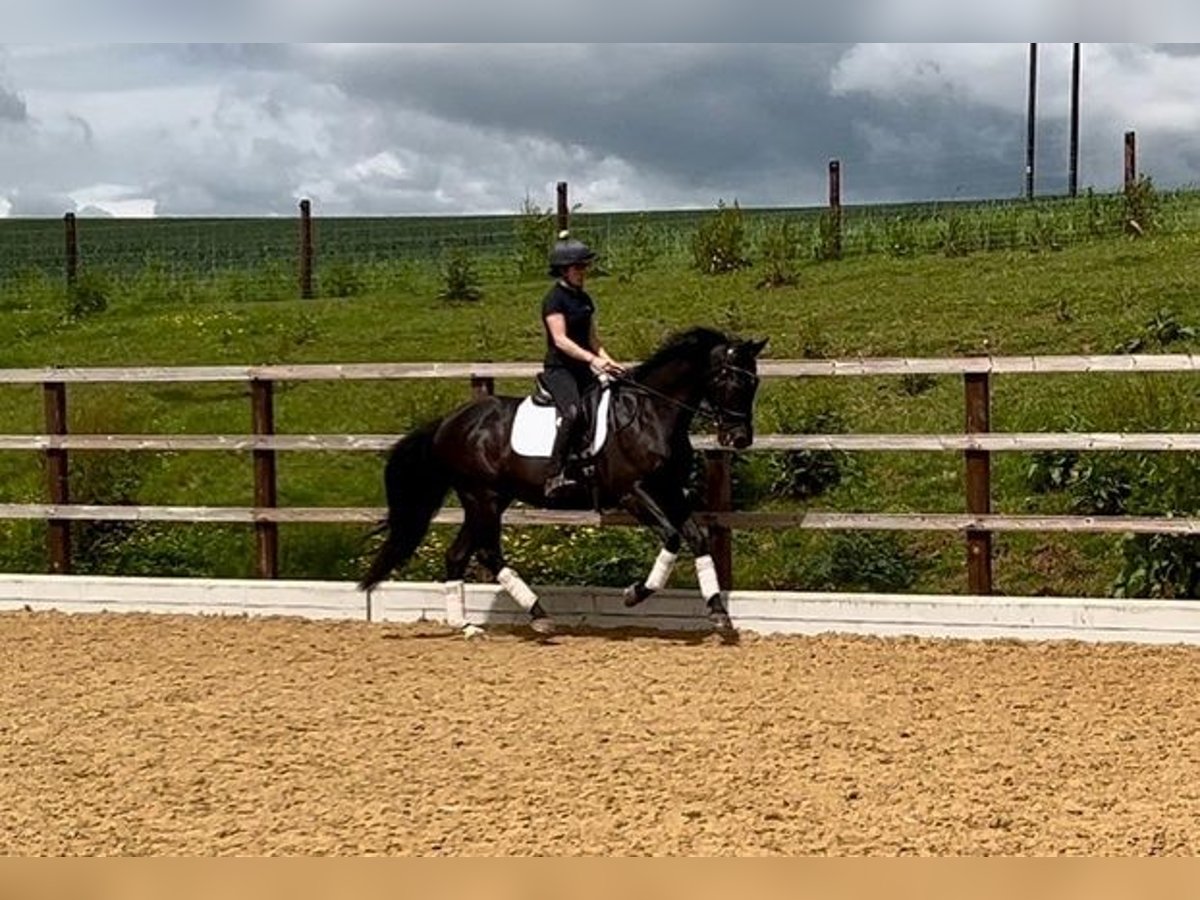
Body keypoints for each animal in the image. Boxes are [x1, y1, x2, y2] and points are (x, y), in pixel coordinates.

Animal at [357, 328, 768, 633]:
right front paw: (634, 593)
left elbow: (697, 538)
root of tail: (449, 422)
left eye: (755, 383)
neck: (651, 414)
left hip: (492, 498)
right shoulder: (633, 493)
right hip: (481, 496)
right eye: (731, 379)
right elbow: (671, 537)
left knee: (458, 554)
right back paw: (537, 616)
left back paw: (468, 625)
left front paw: (718, 612)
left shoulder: (669, 490)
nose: (738, 439)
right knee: (486, 552)